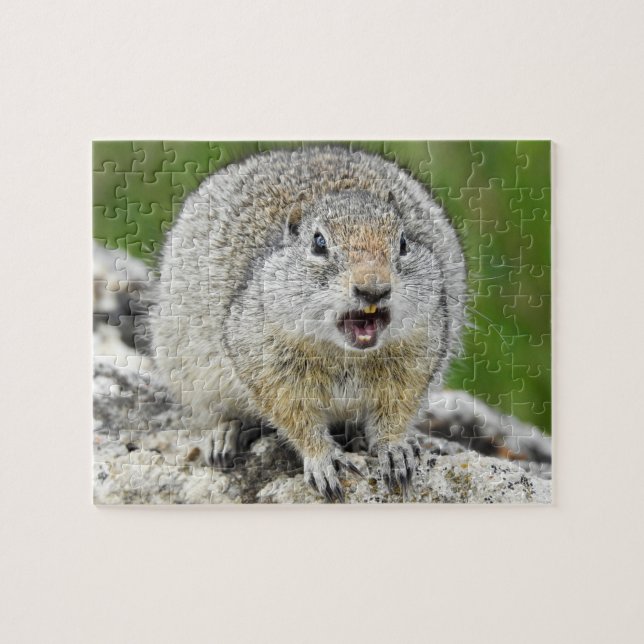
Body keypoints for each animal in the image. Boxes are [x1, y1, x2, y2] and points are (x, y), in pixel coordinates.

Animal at [150, 146, 468, 502]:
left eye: (403, 243)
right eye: (318, 243)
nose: (373, 289)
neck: (345, 354)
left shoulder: (418, 349)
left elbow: (397, 409)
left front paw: (394, 449)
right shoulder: (267, 363)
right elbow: (296, 419)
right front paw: (324, 461)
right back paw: (224, 435)